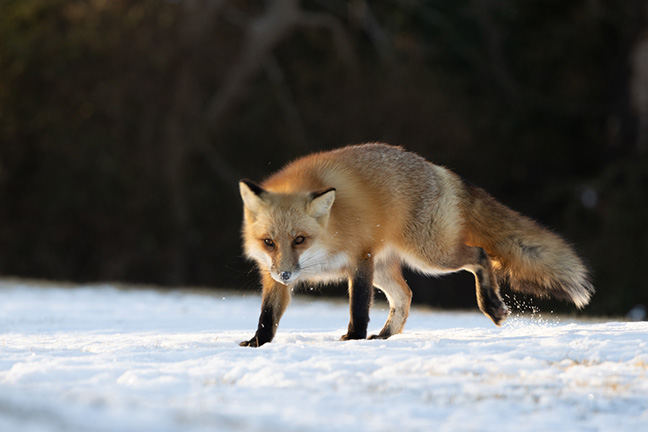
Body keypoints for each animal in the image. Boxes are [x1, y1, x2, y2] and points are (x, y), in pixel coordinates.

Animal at [238, 143, 593, 347]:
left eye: (300, 239)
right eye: (269, 242)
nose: (286, 275)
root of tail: (438, 169)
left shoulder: (360, 258)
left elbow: (358, 308)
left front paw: (353, 339)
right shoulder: (271, 274)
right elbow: (267, 315)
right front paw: (258, 343)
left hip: (430, 256)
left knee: (480, 256)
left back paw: (490, 304)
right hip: (390, 267)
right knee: (405, 296)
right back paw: (386, 336)